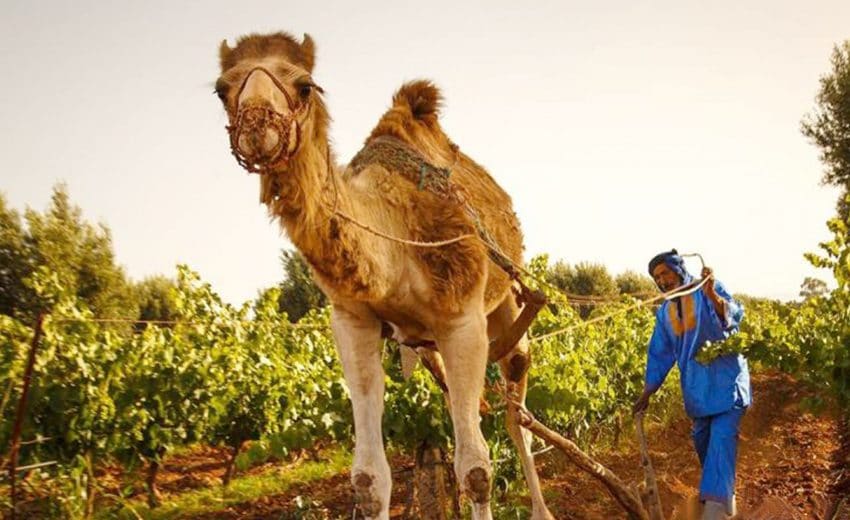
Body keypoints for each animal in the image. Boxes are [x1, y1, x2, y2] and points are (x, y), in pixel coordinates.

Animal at [215, 33, 552, 520]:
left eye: (305, 85)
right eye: (222, 89)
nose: (257, 127)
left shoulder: (462, 319)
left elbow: (476, 469)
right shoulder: (353, 322)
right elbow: (369, 479)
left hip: (505, 301)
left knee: (517, 413)